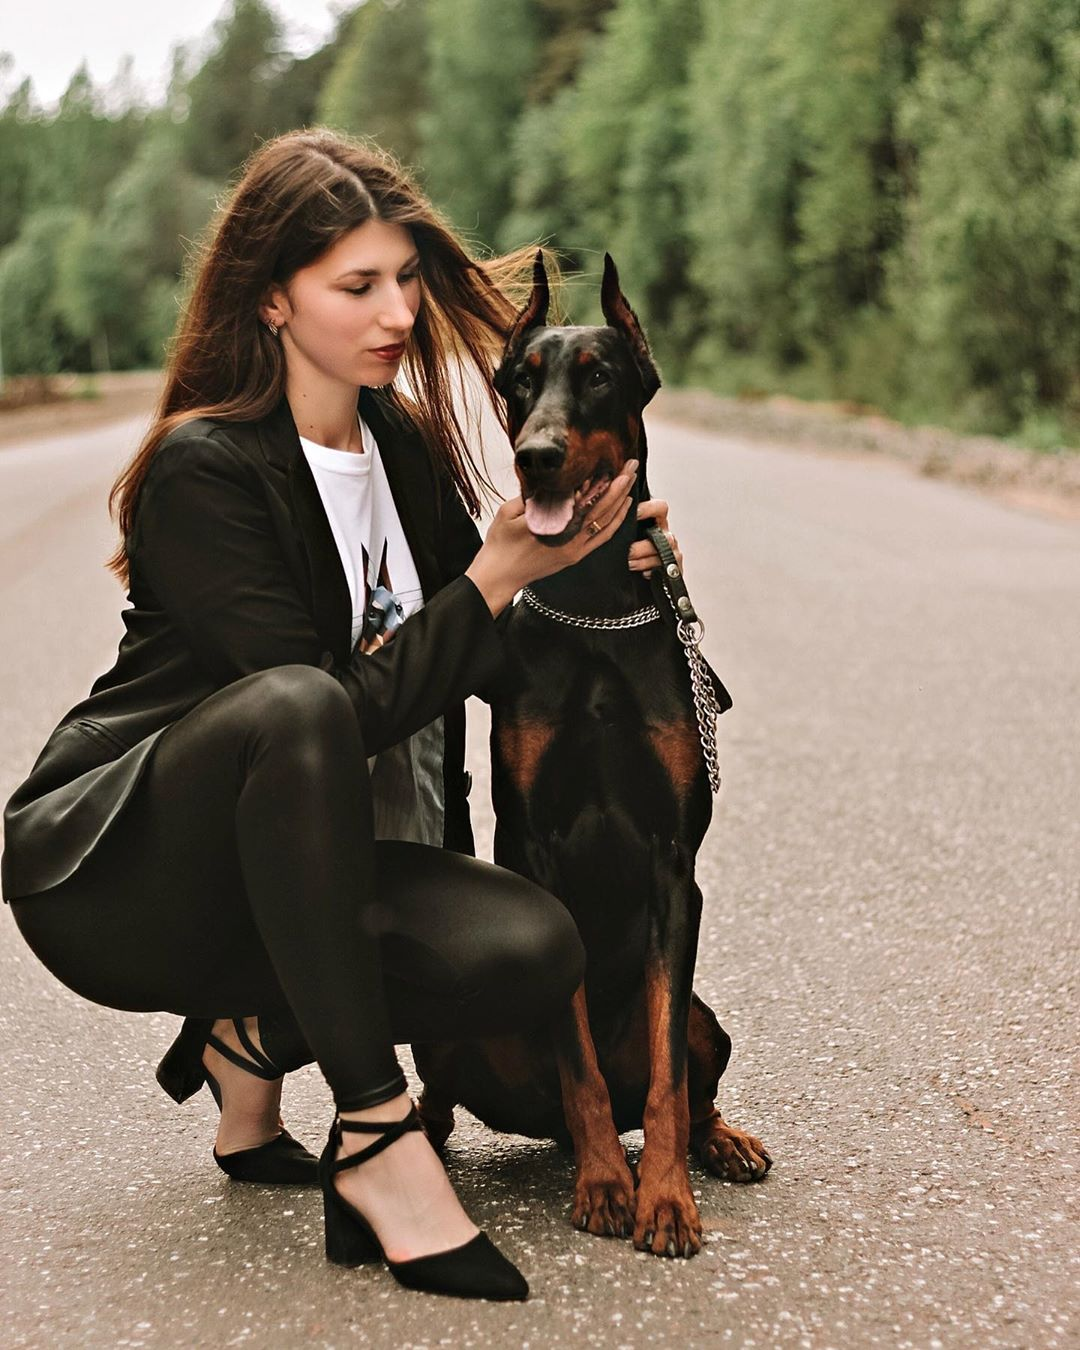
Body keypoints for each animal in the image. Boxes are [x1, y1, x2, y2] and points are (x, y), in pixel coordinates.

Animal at [414, 254, 770, 1259]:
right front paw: (609, 1185)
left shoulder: (672, 864)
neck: (594, 607)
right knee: (459, 1098)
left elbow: (665, 1075)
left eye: (600, 375)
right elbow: (575, 1053)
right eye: (517, 380)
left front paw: (666, 1200)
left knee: (682, 1080)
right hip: (448, 1037)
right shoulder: (539, 850)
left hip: (707, 1019)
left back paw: (721, 1143)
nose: (536, 454)